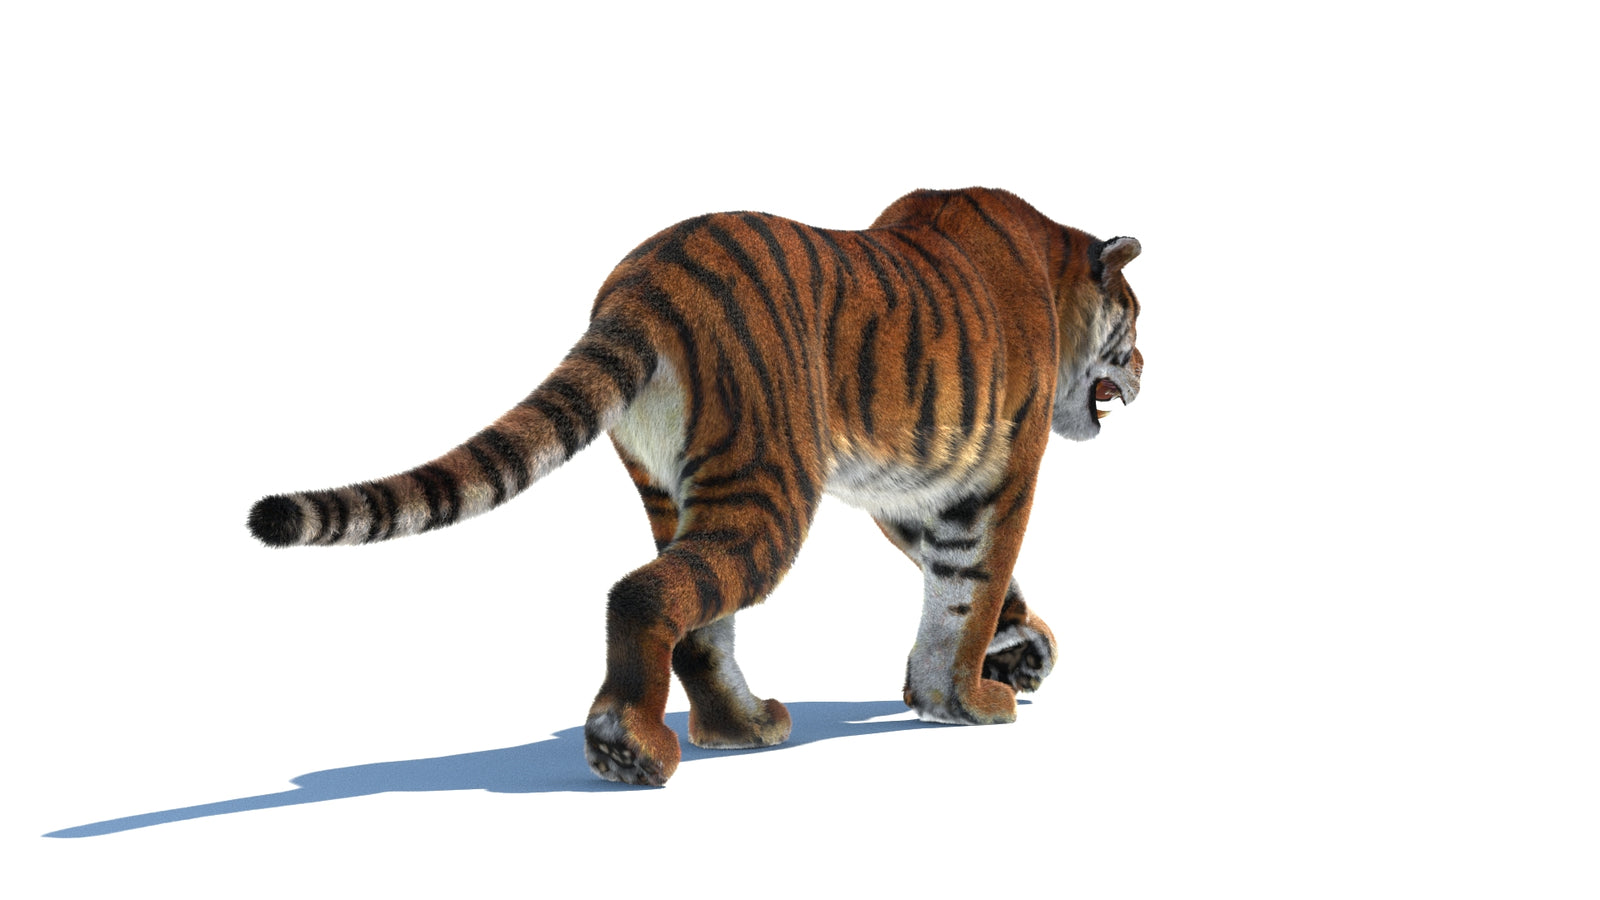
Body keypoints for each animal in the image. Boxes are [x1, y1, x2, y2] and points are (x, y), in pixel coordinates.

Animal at [247, 187, 1144, 786]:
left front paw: (1017, 650)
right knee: (645, 593)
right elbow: (970, 590)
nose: (1144, 368)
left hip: (677, 488)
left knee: (700, 621)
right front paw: (965, 698)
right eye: (1133, 325)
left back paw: (740, 727)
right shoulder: (995, 477)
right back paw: (630, 748)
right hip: (771, 483)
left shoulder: (909, 492)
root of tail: (650, 278)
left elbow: (966, 583)